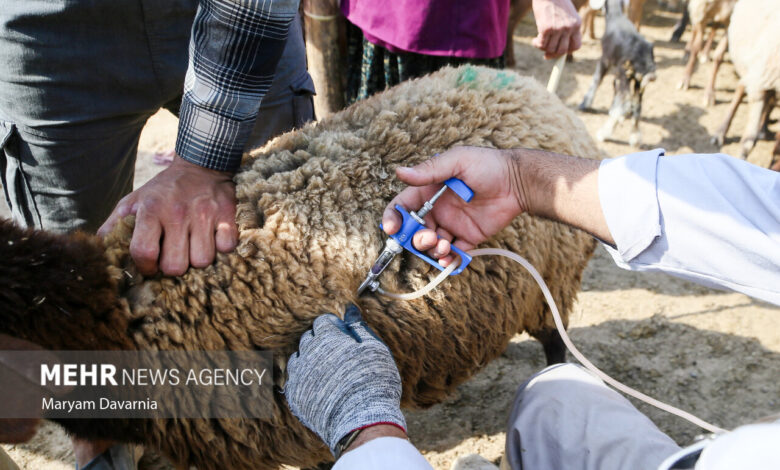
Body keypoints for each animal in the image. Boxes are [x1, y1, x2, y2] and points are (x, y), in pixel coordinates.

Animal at [712, 0, 780, 159]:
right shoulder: (759, 84)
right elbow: (748, 142)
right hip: (753, 68)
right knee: (740, 89)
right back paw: (720, 132)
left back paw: (763, 128)